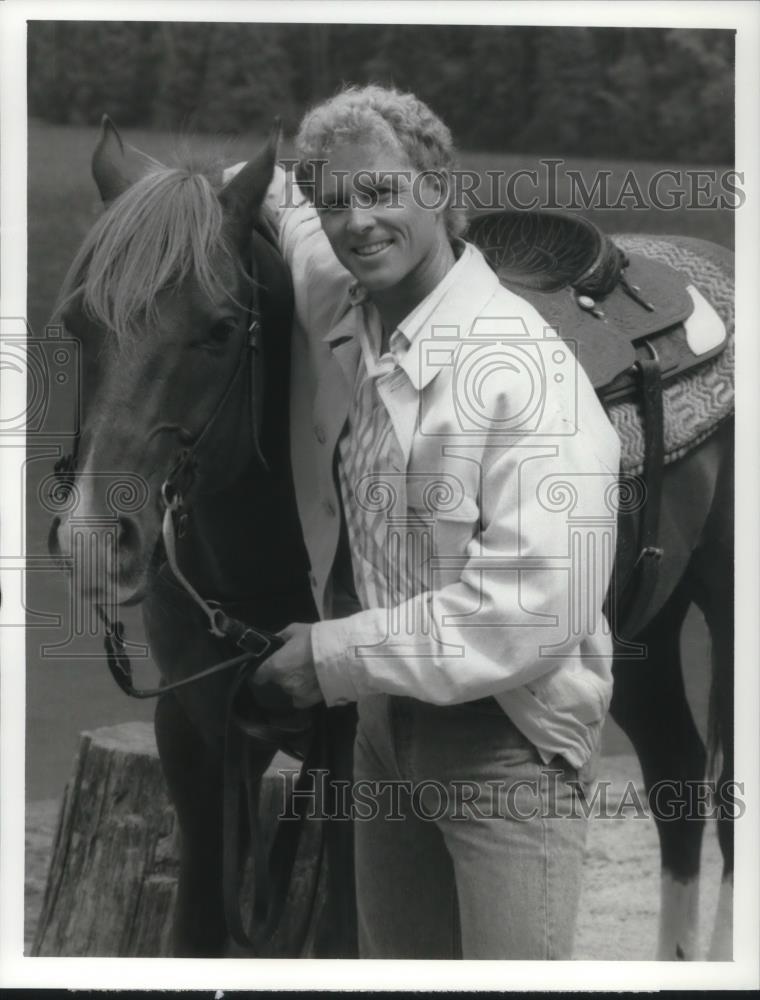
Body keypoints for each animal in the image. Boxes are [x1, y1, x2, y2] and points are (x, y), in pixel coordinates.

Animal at [46, 117, 732, 960]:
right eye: (79, 322)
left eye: (217, 329)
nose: (92, 538)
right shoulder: (194, 735)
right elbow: (197, 928)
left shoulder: (349, 766)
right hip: (638, 635)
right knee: (675, 775)